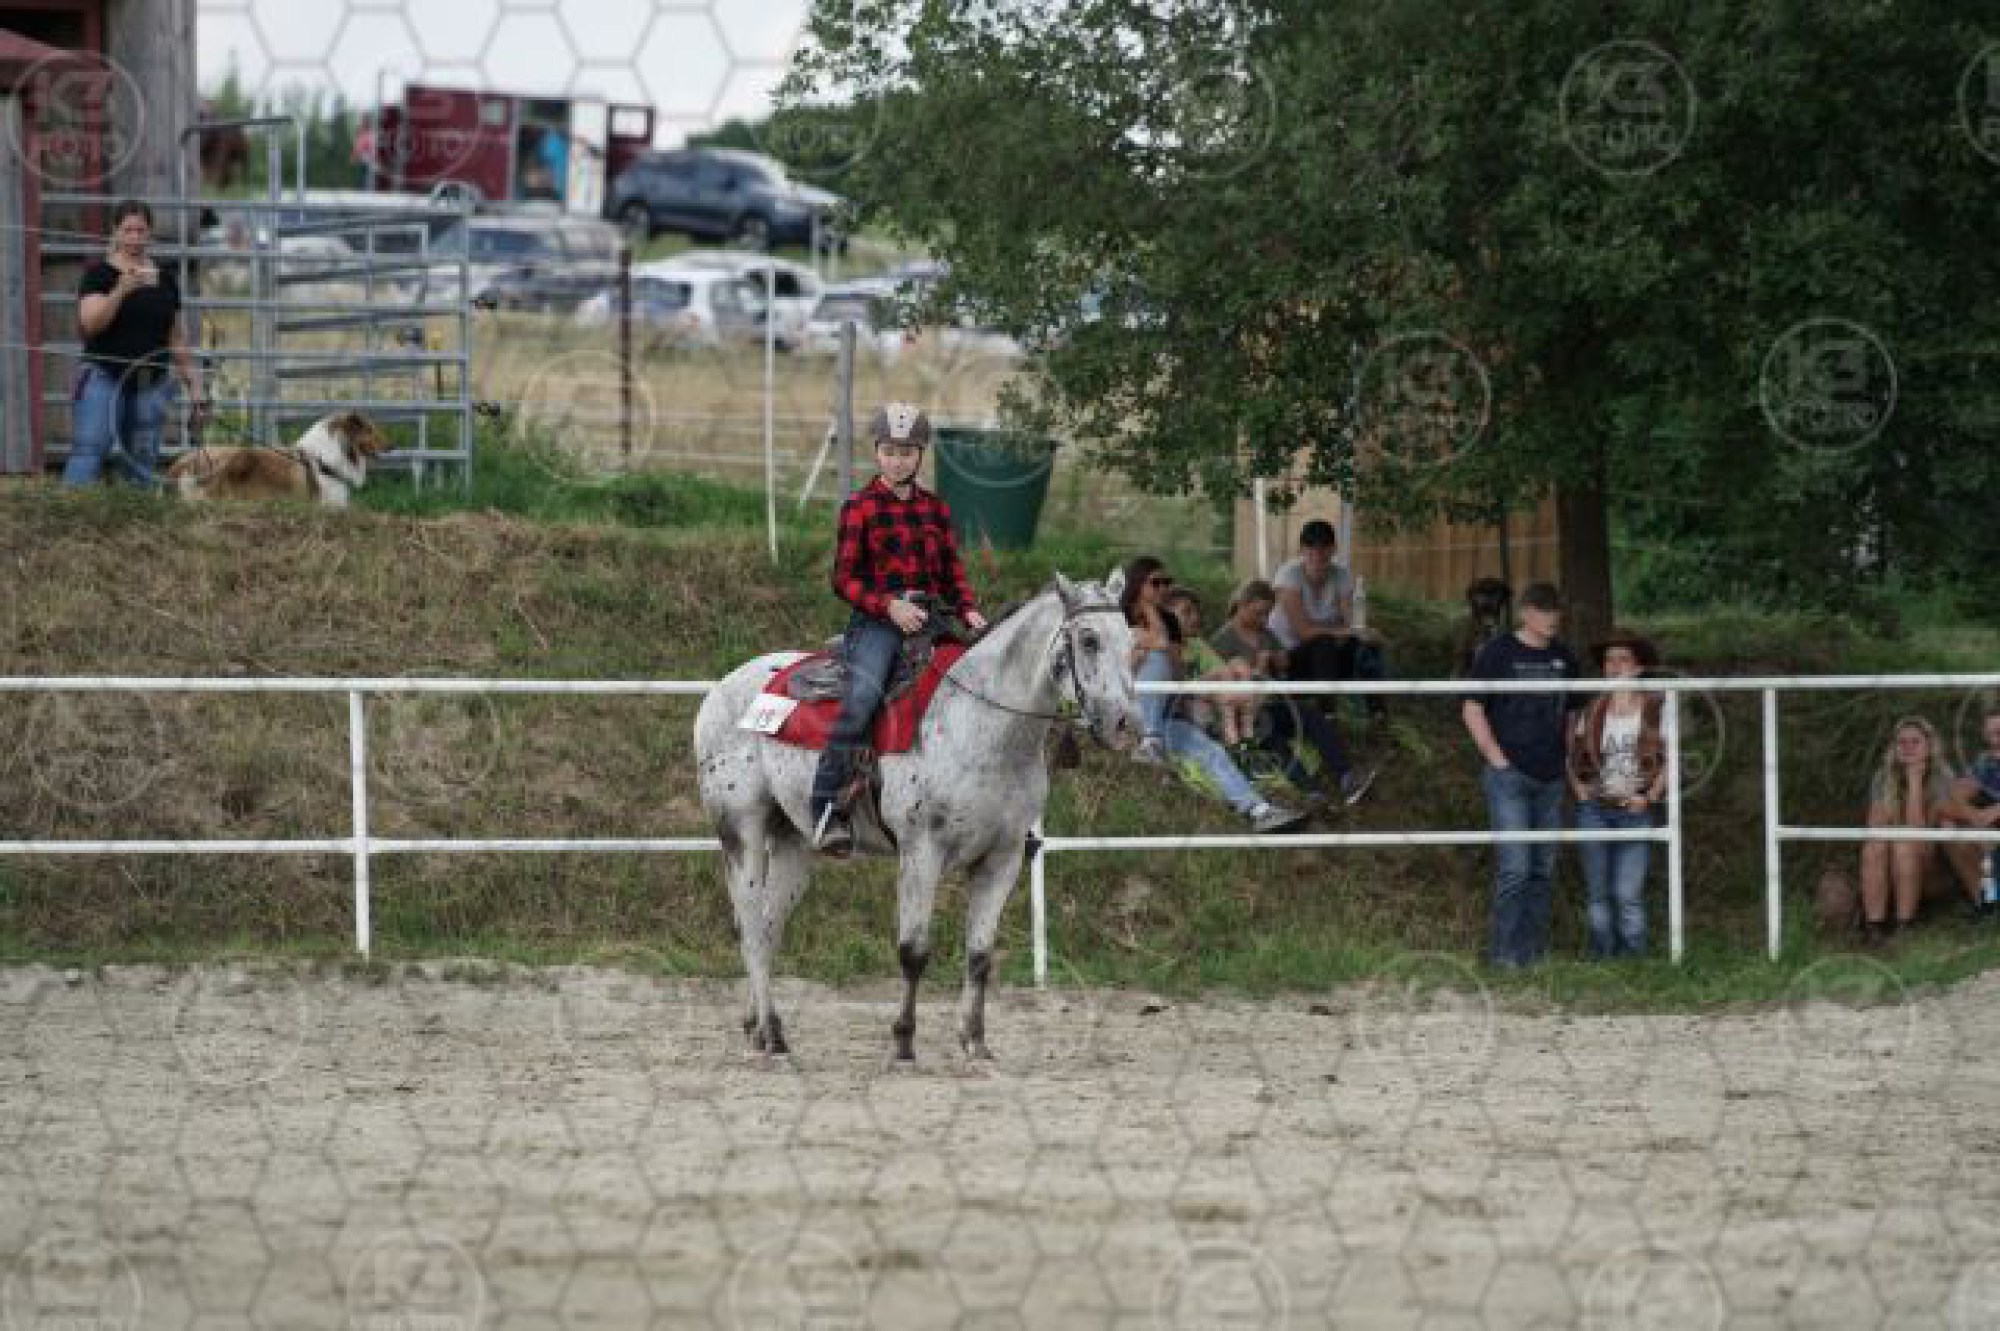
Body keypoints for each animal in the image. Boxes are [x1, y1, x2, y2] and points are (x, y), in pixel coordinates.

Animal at [693, 571, 1143, 1064]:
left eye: (1131, 642)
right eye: (1089, 639)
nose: (1126, 726)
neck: (986, 728)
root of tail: (722, 689)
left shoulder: (1002, 859)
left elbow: (979, 956)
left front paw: (975, 1041)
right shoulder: (921, 850)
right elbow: (913, 950)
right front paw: (904, 1041)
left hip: (793, 839)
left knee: (770, 925)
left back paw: (760, 1027)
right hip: (741, 829)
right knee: (752, 926)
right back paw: (771, 1034)